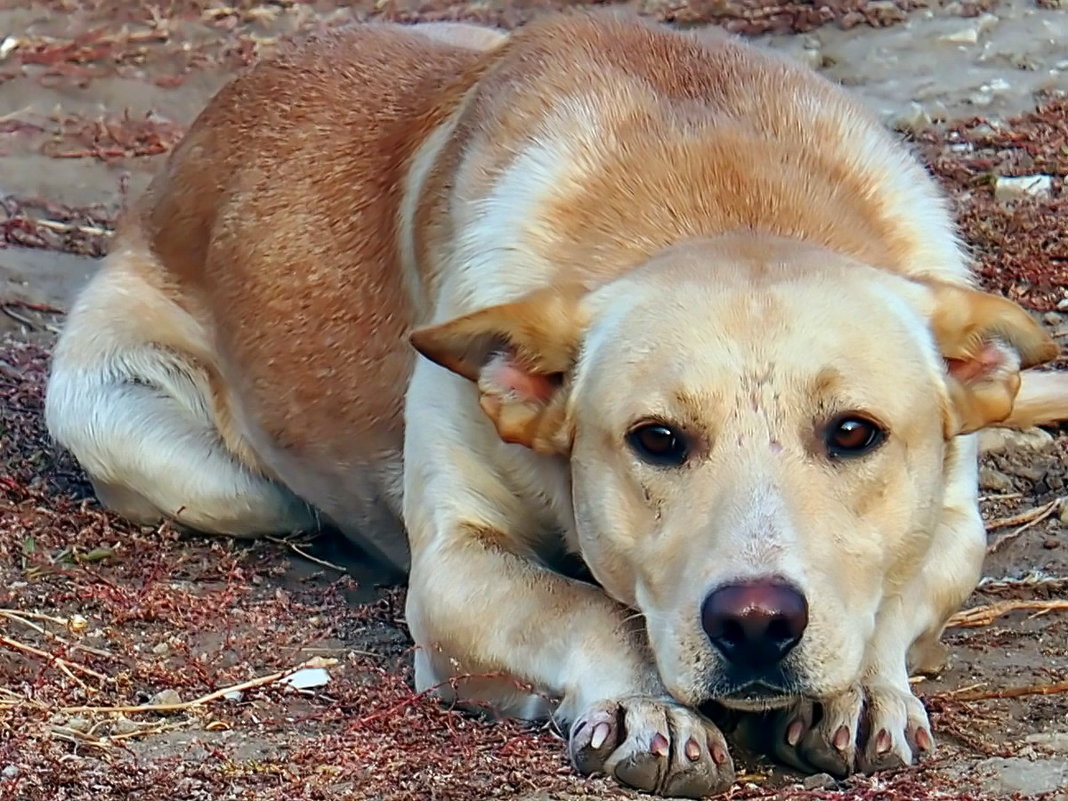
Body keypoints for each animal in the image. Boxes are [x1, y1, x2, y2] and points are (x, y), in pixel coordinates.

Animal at [45, 12, 1063, 798]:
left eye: (854, 433)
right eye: (656, 440)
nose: (756, 624)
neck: (720, 194)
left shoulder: (959, 523)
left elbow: (897, 589)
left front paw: (864, 686)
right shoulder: (455, 568)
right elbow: (587, 608)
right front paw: (648, 703)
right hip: (182, 460)